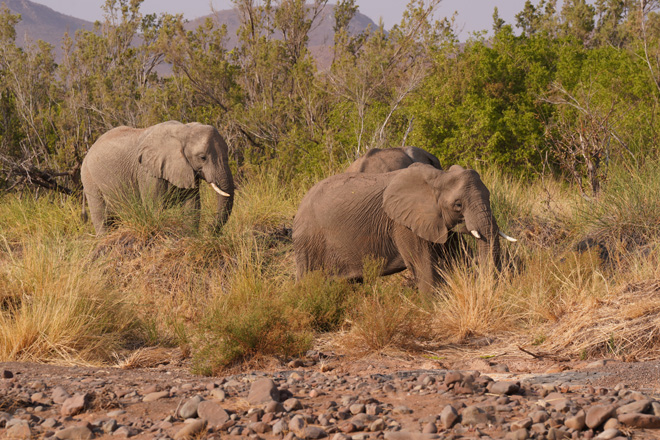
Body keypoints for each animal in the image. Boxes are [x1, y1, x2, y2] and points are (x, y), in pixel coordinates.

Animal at [81, 120, 235, 235]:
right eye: (202, 157)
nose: (209, 229)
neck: (184, 131)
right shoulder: (147, 172)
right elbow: (155, 206)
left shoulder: (186, 169)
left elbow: (192, 206)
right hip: (89, 179)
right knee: (101, 218)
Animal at [292, 163, 516, 294]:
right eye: (458, 205)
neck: (438, 178)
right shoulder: (402, 224)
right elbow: (423, 264)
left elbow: (454, 258)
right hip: (310, 242)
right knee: (310, 282)